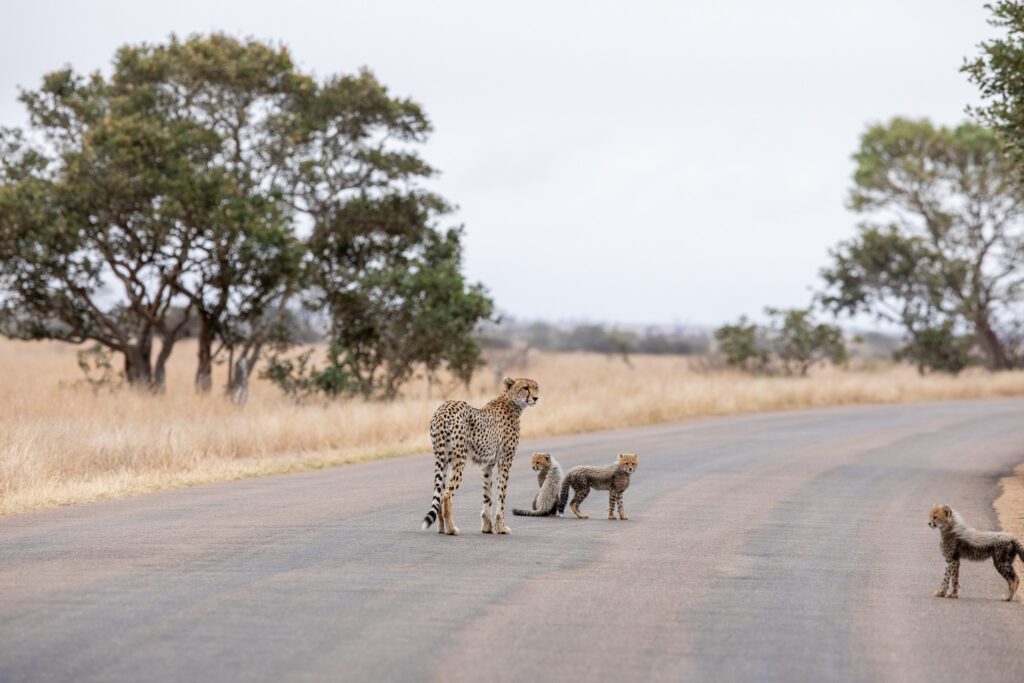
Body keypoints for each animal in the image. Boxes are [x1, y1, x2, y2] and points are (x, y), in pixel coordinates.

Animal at [419, 378, 540, 532]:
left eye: (536, 387)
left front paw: (487, 527)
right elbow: (501, 494)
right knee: (446, 494)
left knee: (439, 493)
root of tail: (444, 408)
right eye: (525, 388)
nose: (536, 398)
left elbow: (487, 495)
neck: (512, 402)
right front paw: (501, 527)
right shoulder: (505, 461)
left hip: (442, 459)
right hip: (459, 459)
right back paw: (451, 529)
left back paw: (441, 528)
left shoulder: (487, 464)